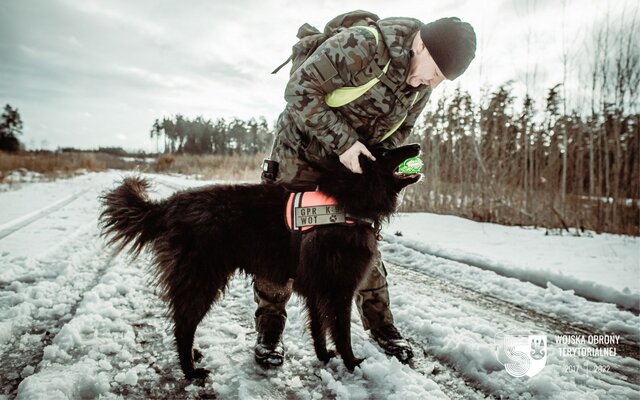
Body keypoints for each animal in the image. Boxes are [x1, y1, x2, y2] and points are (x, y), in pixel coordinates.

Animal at [99, 143, 420, 378]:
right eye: (386, 152)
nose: (416, 145)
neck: (345, 200)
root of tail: (169, 205)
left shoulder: (317, 291)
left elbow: (318, 328)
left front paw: (323, 356)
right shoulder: (338, 290)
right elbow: (342, 333)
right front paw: (352, 364)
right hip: (202, 280)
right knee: (182, 326)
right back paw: (190, 370)